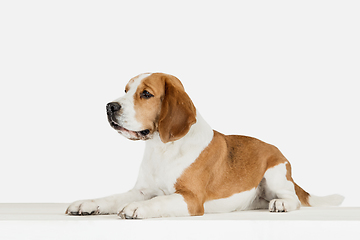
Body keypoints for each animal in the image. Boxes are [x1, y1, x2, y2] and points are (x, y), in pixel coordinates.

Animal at [66, 72, 344, 218]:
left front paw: (136, 208)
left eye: (145, 94)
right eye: (125, 90)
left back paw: (281, 204)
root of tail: (276, 149)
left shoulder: (190, 199)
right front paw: (88, 204)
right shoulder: (143, 190)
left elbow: (157, 201)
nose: (109, 106)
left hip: (275, 174)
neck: (163, 148)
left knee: (293, 198)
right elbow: (112, 197)